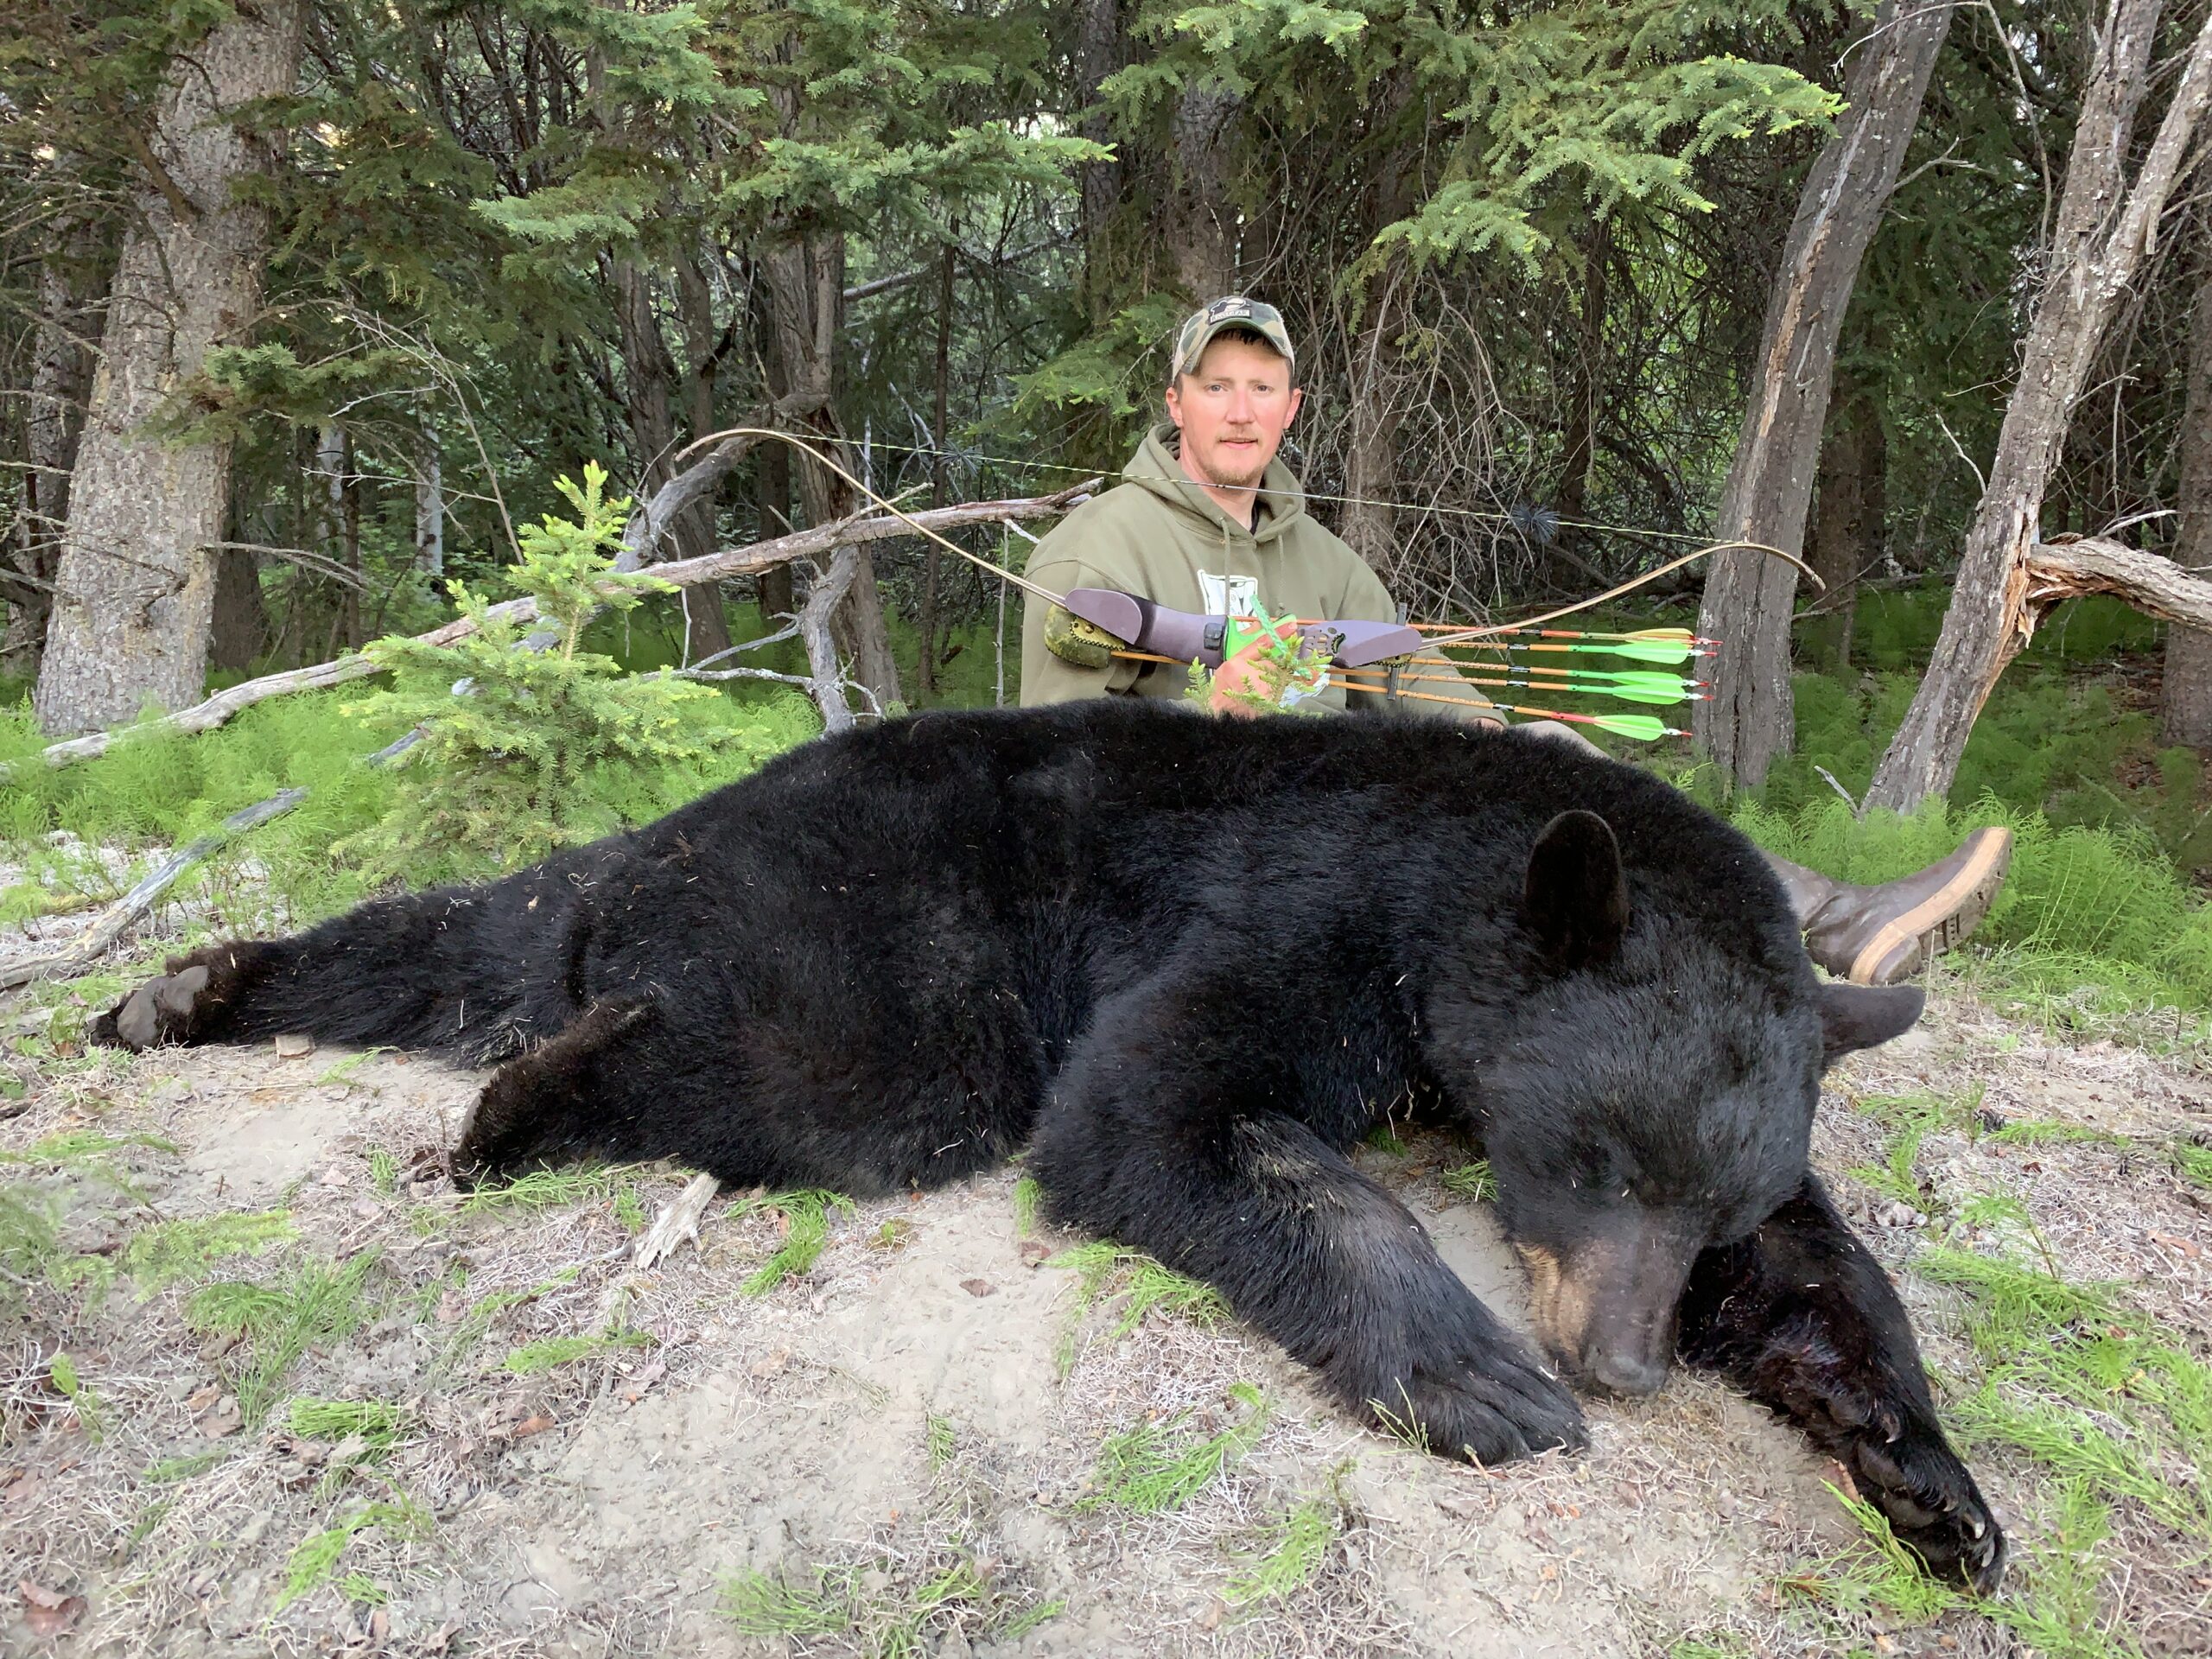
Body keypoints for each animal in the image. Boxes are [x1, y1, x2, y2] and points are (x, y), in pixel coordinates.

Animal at [95, 703, 2008, 1601]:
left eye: (1706, 1200)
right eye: (1599, 1156)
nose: (1619, 1365)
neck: (1445, 891)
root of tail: (657, 866)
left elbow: (1827, 1276)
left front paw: (1930, 1483)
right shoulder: (1296, 922)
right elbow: (1156, 1117)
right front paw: (1476, 1382)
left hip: (621, 896)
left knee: (450, 941)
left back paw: (181, 989)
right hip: (892, 956)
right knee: (792, 1068)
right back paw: (512, 1105)